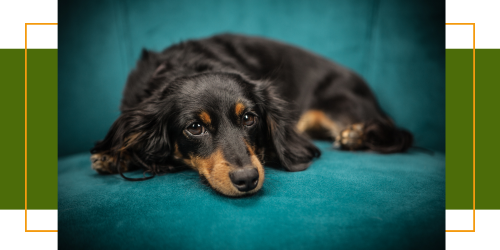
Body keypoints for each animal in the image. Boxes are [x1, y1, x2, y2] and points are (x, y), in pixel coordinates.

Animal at [90, 33, 410, 197]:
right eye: (194, 127)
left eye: (248, 118)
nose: (247, 180)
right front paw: (113, 155)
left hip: (339, 105)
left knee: (396, 134)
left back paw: (356, 135)